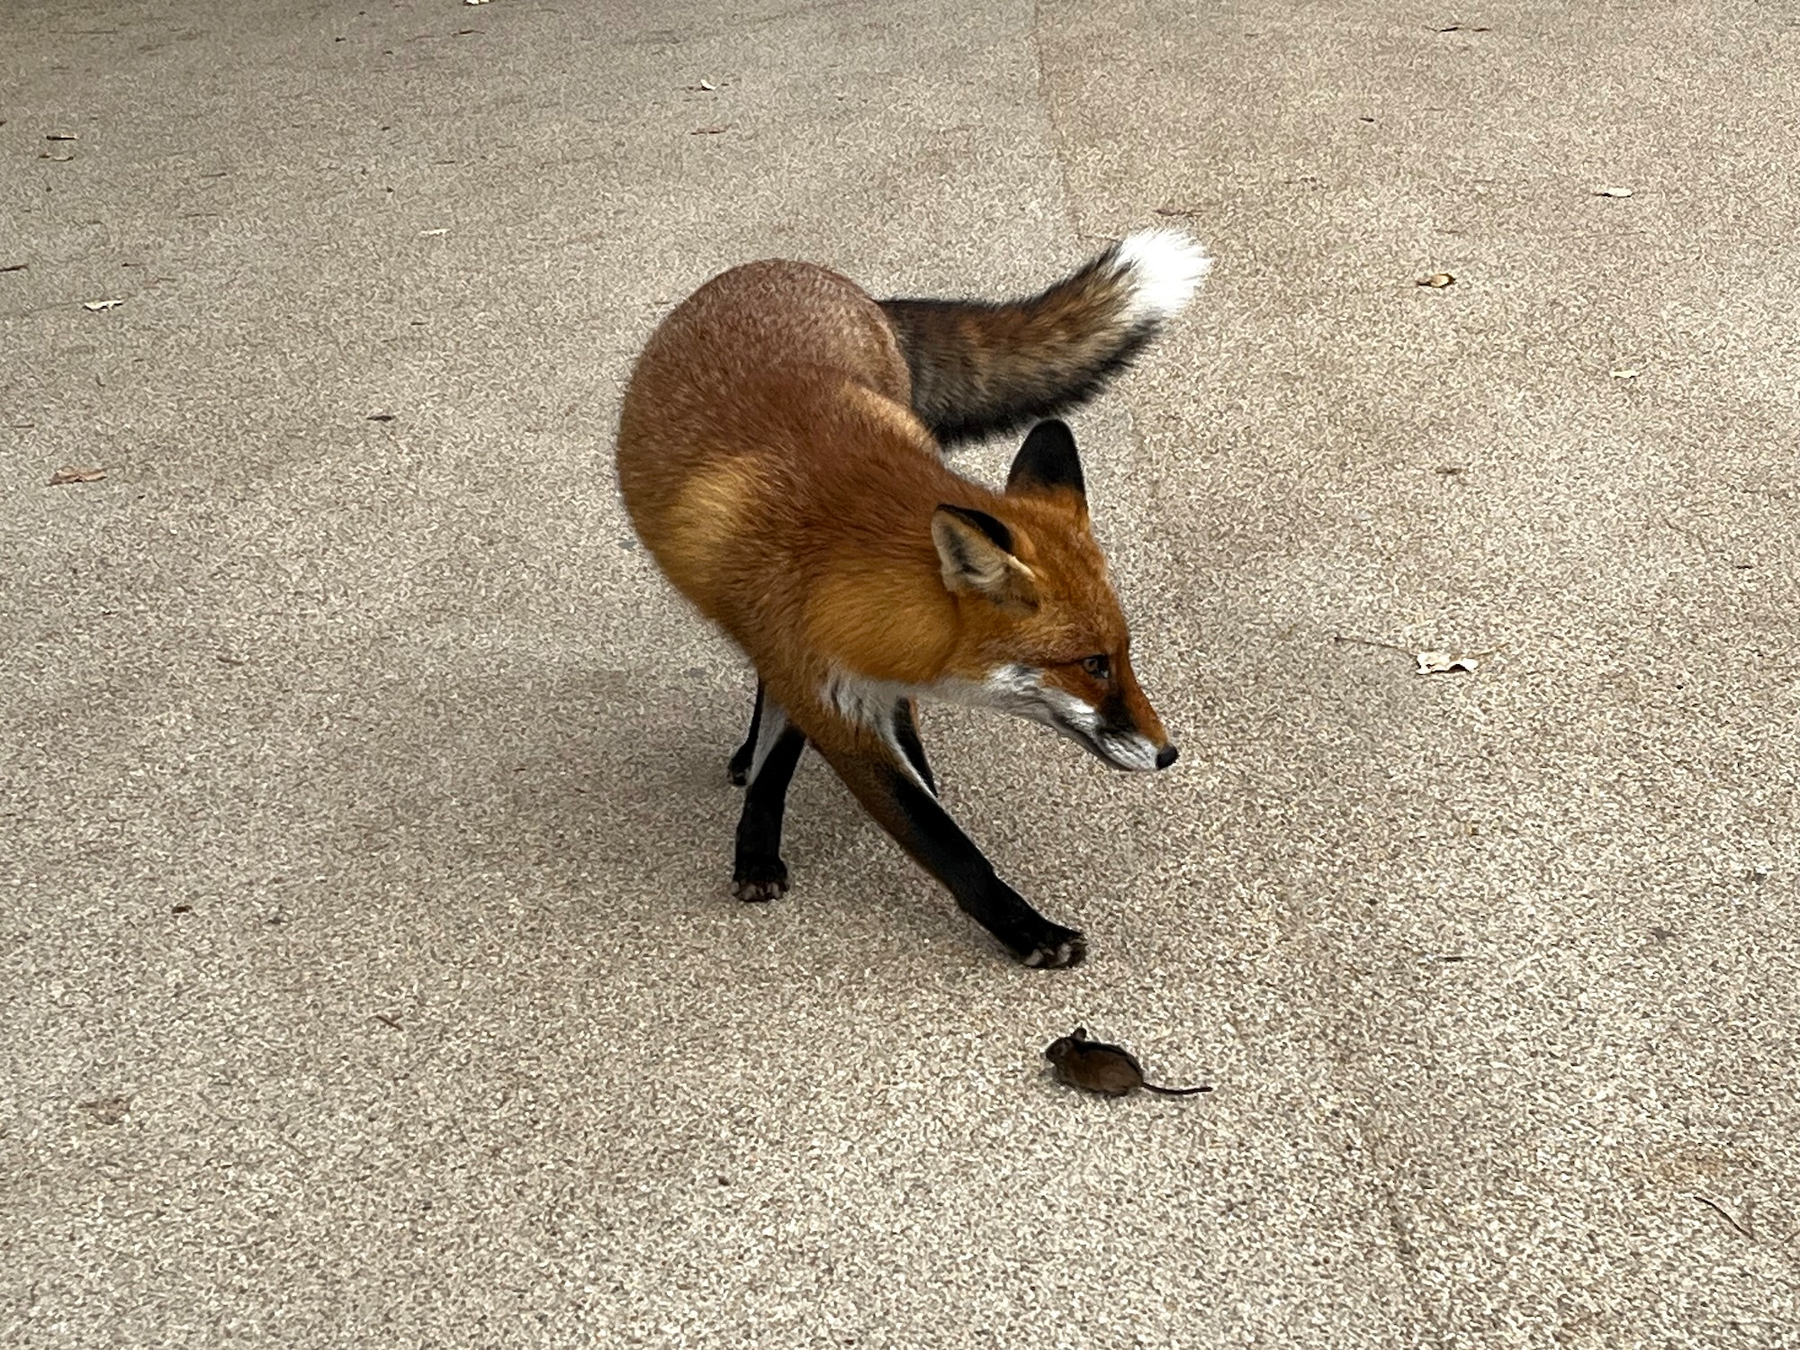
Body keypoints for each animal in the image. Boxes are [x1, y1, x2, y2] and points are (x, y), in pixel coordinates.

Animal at [615, 228, 1211, 968]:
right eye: (1092, 664)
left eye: (1123, 655)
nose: (1168, 754)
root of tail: (802, 271)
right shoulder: (828, 697)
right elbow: (946, 844)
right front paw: (1030, 932)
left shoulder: (832, 678)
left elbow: (821, 751)